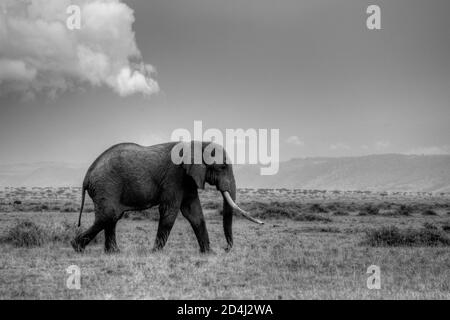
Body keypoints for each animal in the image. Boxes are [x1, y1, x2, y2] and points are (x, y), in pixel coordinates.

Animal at [71, 141, 264, 254]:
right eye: (222, 167)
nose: (226, 248)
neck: (196, 143)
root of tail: (87, 176)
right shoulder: (175, 176)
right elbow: (170, 211)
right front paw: (155, 252)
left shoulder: (188, 178)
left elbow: (194, 212)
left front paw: (208, 253)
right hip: (106, 186)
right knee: (109, 215)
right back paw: (76, 247)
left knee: (112, 218)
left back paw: (113, 252)